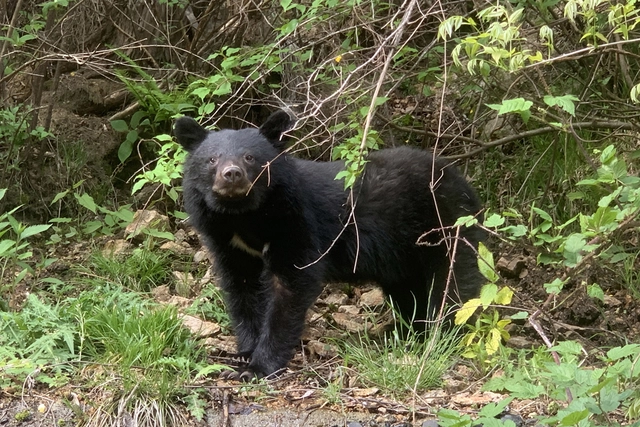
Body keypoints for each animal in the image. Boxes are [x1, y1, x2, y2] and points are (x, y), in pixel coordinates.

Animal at [174, 110, 484, 380]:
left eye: (250, 158)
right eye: (211, 159)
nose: (232, 175)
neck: (245, 216)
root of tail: (466, 185)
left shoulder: (295, 222)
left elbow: (291, 285)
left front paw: (258, 367)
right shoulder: (227, 241)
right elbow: (243, 288)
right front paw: (244, 353)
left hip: (446, 228)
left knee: (453, 286)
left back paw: (442, 337)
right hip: (403, 256)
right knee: (409, 292)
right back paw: (408, 333)